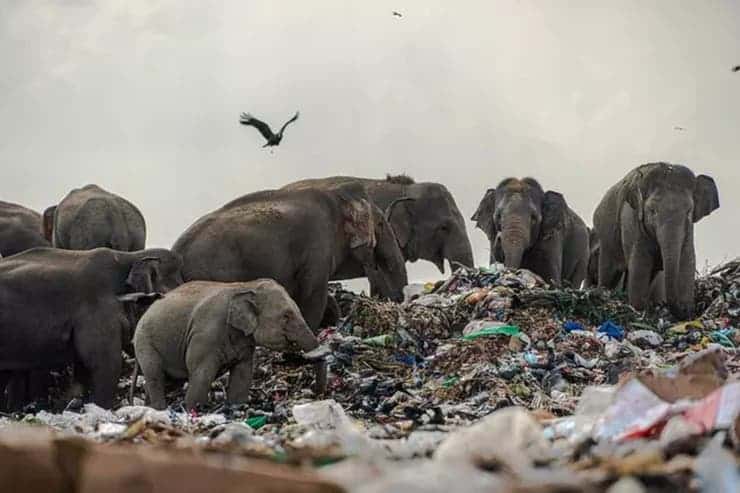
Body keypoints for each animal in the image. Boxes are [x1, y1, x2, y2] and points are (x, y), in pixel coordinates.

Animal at [132, 278, 326, 410]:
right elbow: (201, 374)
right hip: (145, 343)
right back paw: (159, 409)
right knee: (155, 376)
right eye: (286, 316)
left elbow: (242, 374)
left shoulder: (245, 342)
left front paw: (235, 407)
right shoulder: (205, 336)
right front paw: (194, 409)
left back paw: (148, 408)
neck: (246, 286)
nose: (318, 394)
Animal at [592, 160, 720, 318]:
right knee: (608, 272)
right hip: (605, 237)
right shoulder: (632, 222)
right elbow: (640, 264)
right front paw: (639, 310)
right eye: (652, 211)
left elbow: (687, 261)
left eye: (689, 211)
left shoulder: (689, 230)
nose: (685, 311)